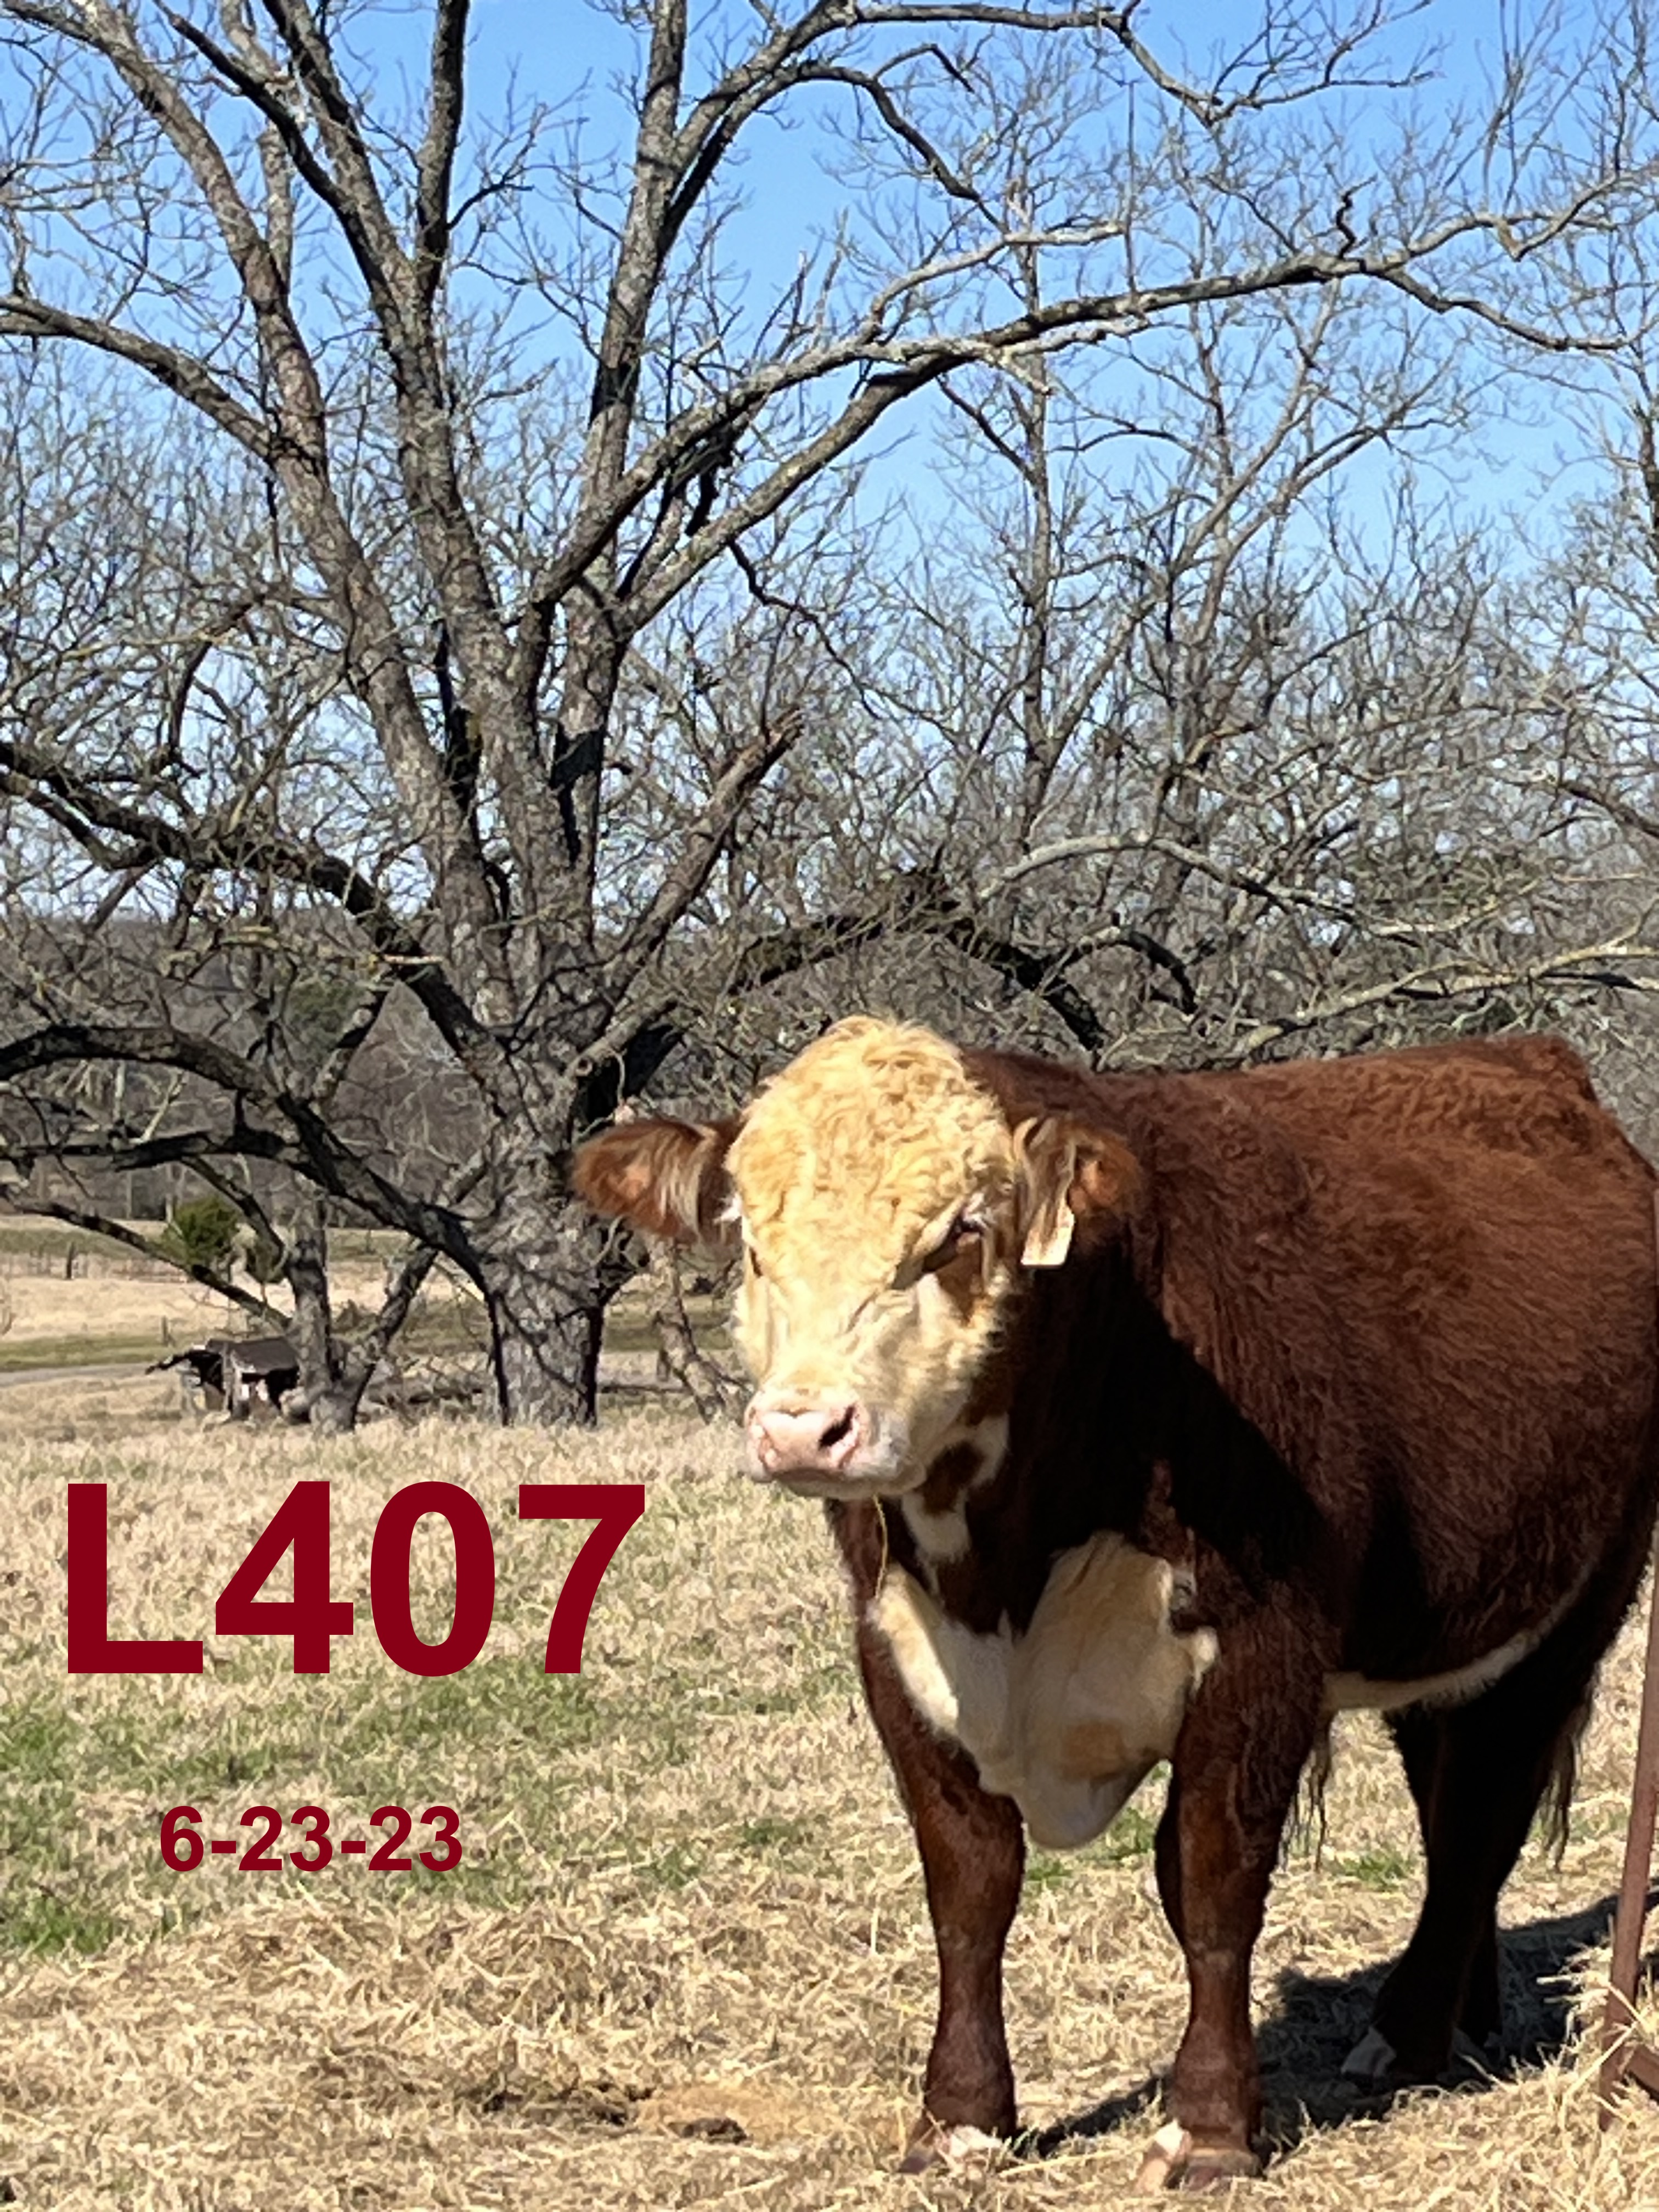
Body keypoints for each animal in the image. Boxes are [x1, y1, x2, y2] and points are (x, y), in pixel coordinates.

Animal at [575, 1022, 1659, 2194]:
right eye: (746, 1236)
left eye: (963, 1230)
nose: (803, 1428)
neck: (1001, 1577)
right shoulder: (896, 1653)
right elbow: (968, 1888)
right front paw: (958, 2120)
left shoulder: (1258, 1654)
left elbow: (1210, 1883)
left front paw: (1209, 2128)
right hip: (1446, 1626)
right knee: (1444, 1795)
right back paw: (1459, 2013)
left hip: (1573, 1608)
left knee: (1478, 1816)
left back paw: (1406, 2034)